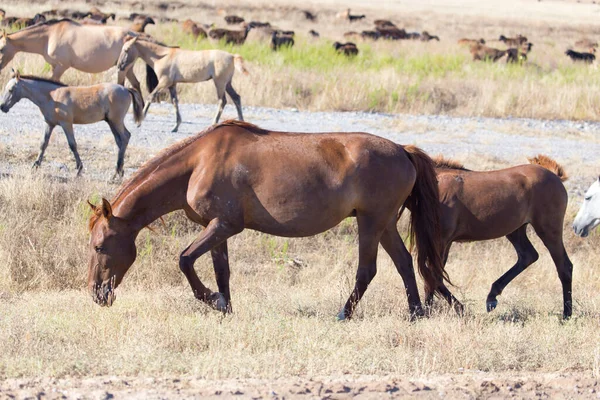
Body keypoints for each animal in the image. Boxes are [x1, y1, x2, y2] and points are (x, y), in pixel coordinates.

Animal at [0, 19, 145, 95]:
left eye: (1, 49)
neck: (50, 35)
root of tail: (134, 35)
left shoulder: (61, 67)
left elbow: (54, 83)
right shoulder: (54, 66)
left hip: (123, 69)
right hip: (128, 68)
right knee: (136, 84)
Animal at [0, 70, 143, 180]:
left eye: (11, 90)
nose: (2, 107)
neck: (52, 96)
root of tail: (126, 89)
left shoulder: (66, 124)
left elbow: (72, 145)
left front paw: (79, 170)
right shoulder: (49, 124)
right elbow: (43, 144)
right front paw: (35, 165)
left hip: (116, 121)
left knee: (125, 137)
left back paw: (117, 172)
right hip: (111, 122)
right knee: (120, 141)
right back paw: (118, 172)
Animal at [86, 120, 448, 320]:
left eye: (99, 246)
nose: (96, 293)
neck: (198, 163)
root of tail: (403, 150)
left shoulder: (225, 225)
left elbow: (185, 260)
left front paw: (214, 301)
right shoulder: (215, 228)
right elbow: (221, 272)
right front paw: (225, 307)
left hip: (371, 223)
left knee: (367, 270)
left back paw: (344, 314)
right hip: (384, 224)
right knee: (404, 263)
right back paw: (415, 314)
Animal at [116, 35, 247, 131]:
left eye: (126, 50)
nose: (119, 66)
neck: (162, 56)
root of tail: (232, 56)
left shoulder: (164, 82)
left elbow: (151, 97)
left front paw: (139, 121)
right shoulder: (172, 85)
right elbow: (175, 102)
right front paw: (176, 126)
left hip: (219, 83)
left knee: (222, 101)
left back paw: (214, 124)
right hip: (227, 84)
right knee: (236, 98)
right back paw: (242, 122)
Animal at [420, 154, 576, 318]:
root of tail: (554, 176)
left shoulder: (442, 240)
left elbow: (433, 274)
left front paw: (456, 309)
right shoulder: (441, 242)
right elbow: (432, 275)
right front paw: (427, 310)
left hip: (549, 230)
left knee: (564, 267)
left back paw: (566, 314)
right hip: (515, 231)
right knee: (528, 255)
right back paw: (492, 296)